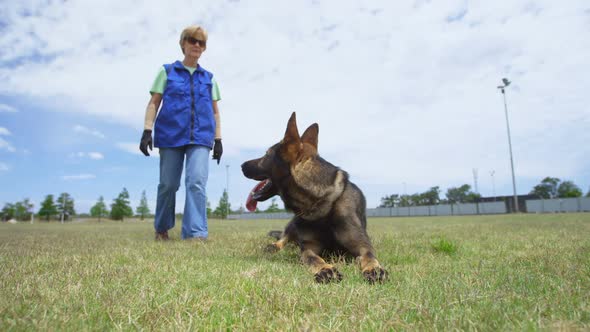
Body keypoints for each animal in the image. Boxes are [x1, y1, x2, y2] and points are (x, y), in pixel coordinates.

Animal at [242, 112, 388, 282]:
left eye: (266, 155)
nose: (241, 165)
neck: (322, 206)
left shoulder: (362, 244)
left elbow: (369, 255)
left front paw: (374, 269)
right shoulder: (309, 248)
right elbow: (313, 258)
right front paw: (325, 269)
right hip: (293, 224)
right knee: (284, 238)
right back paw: (274, 246)